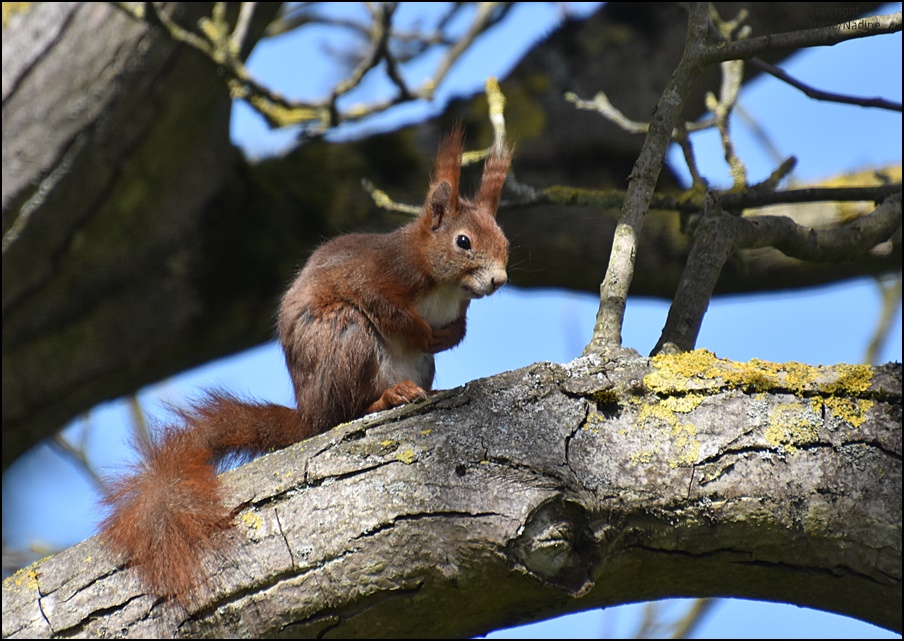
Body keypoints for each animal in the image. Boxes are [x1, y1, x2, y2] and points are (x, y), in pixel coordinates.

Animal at [100, 129, 512, 600]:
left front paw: (450, 335)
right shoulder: (375, 276)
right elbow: (388, 309)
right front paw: (425, 331)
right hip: (346, 336)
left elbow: (457, 328)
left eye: (504, 241)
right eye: (463, 242)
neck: (443, 284)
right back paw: (387, 398)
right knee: (342, 414)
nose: (499, 280)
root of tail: (308, 413)